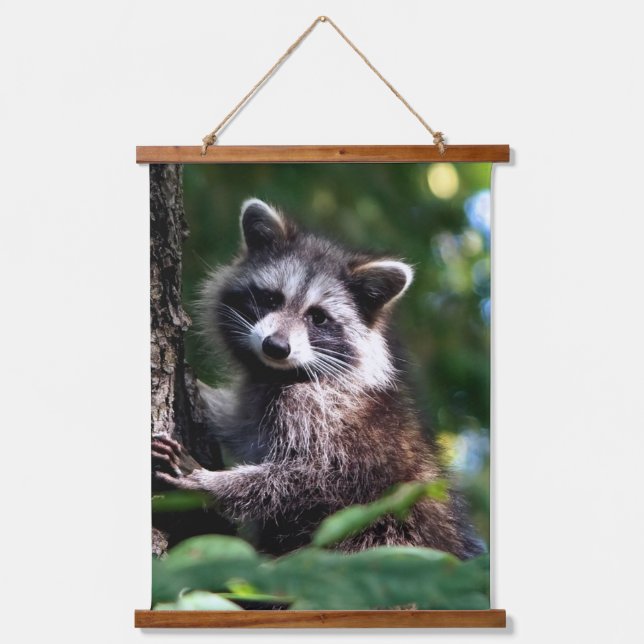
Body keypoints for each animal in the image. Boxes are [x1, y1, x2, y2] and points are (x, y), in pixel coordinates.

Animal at [153, 198, 484, 558]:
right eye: (271, 299)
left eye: (318, 318)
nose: (276, 347)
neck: (279, 373)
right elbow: (240, 425)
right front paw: (203, 394)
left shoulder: (324, 416)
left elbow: (311, 478)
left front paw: (208, 482)